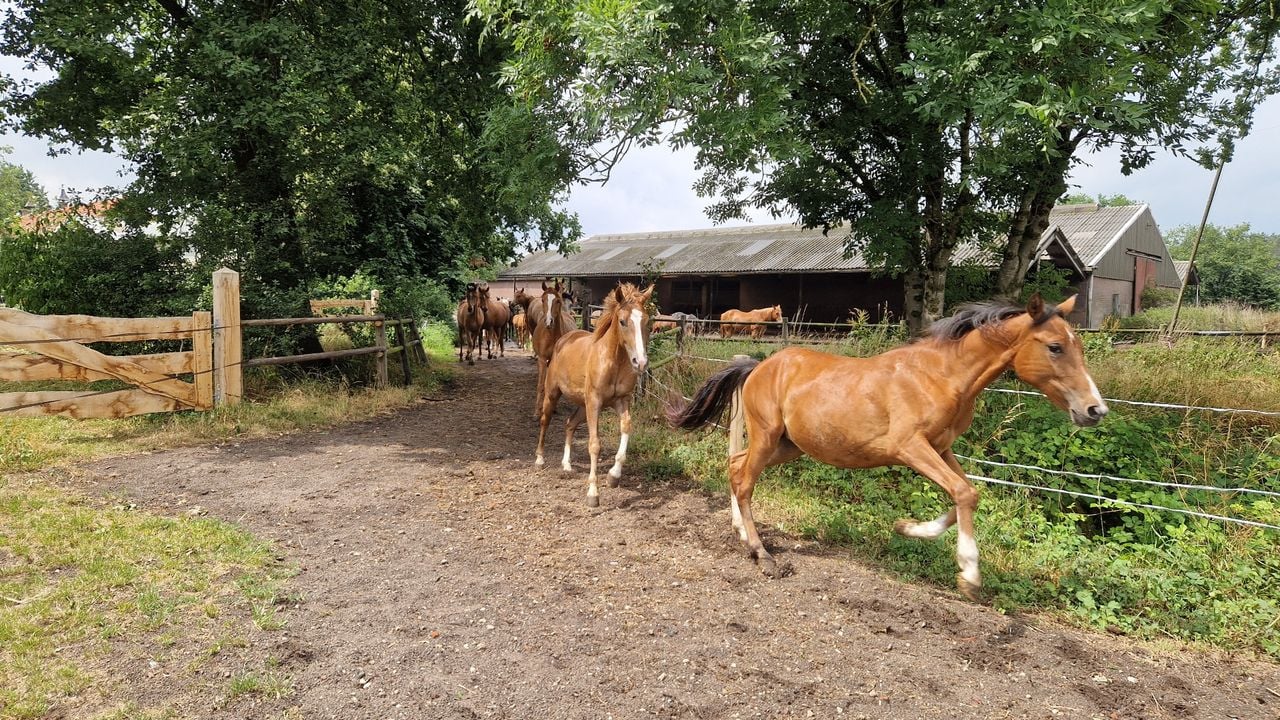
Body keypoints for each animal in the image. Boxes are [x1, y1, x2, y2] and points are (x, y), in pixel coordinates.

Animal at [530, 280, 577, 415]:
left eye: (557, 301)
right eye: (543, 299)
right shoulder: (542, 359)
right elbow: (541, 385)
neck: (550, 336)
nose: (548, 322)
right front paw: (537, 412)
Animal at [536, 283, 654, 507]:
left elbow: (626, 427)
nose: (640, 362)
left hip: (583, 405)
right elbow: (594, 444)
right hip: (554, 395)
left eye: (646, 321)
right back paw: (539, 459)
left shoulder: (620, 401)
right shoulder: (595, 402)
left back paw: (566, 465)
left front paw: (614, 476)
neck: (613, 360)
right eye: (622, 321)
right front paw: (593, 494)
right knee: (545, 421)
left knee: (569, 423)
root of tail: (563, 339)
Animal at [668, 294, 1107, 600]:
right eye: (1054, 347)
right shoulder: (910, 447)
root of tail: (758, 365)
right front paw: (969, 575)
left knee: (736, 466)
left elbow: (966, 494)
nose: (1094, 409)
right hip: (768, 435)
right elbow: (963, 492)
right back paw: (762, 556)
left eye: (1078, 346)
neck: (941, 377)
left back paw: (742, 533)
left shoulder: (942, 449)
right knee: (744, 479)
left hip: (790, 445)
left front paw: (908, 528)